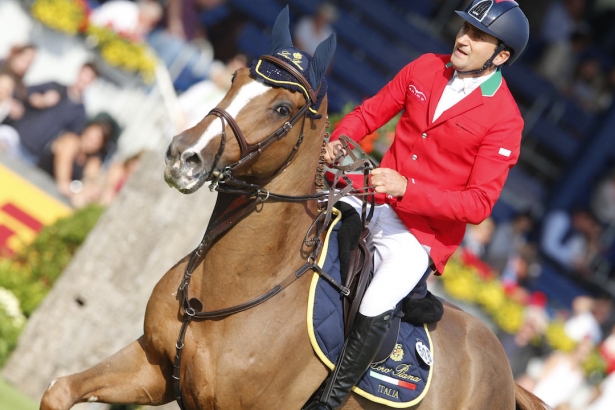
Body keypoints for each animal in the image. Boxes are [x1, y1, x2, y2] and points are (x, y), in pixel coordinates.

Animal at [39, 6, 548, 410]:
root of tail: (504, 370)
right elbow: (60, 390)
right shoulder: (153, 366)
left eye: (283, 109)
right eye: (235, 78)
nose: (183, 156)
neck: (233, 285)